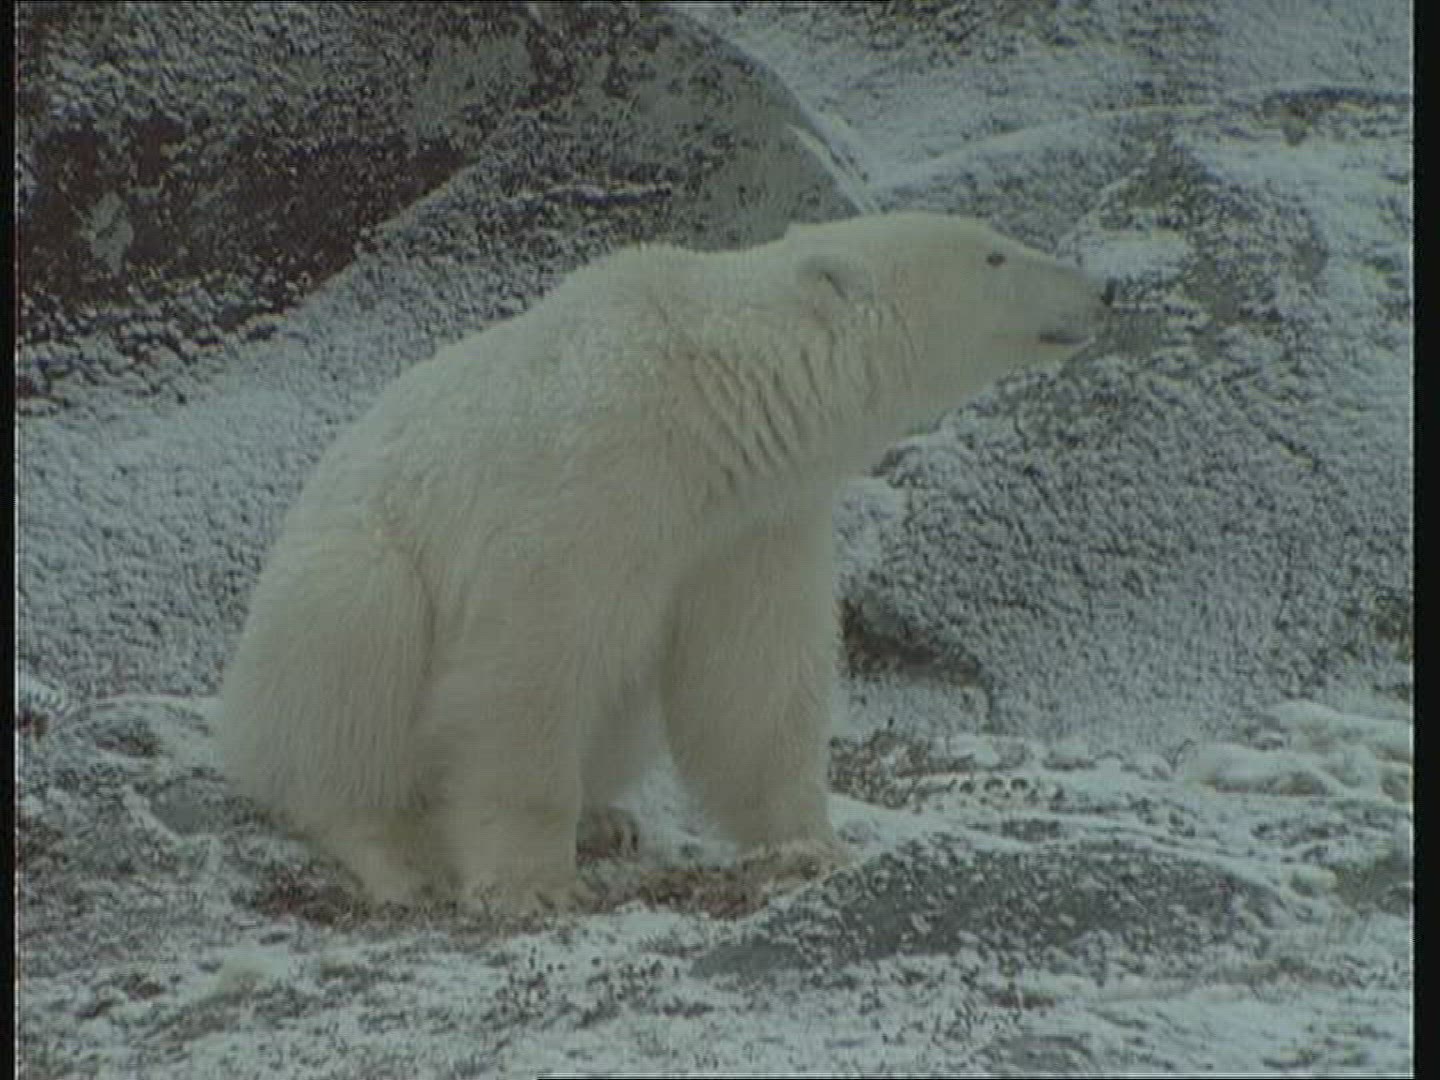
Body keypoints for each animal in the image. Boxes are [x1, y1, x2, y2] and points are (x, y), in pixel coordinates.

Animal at [216, 212, 1108, 914]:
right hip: (321, 599)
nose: (1099, 291)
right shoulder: (591, 472)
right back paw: (398, 852)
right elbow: (527, 657)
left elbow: (754, 677)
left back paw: (606, 818)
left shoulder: (750, 522)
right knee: (354, 646)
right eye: (993, 253)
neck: (705, 389)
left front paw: (809, 844)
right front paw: (528, 883)